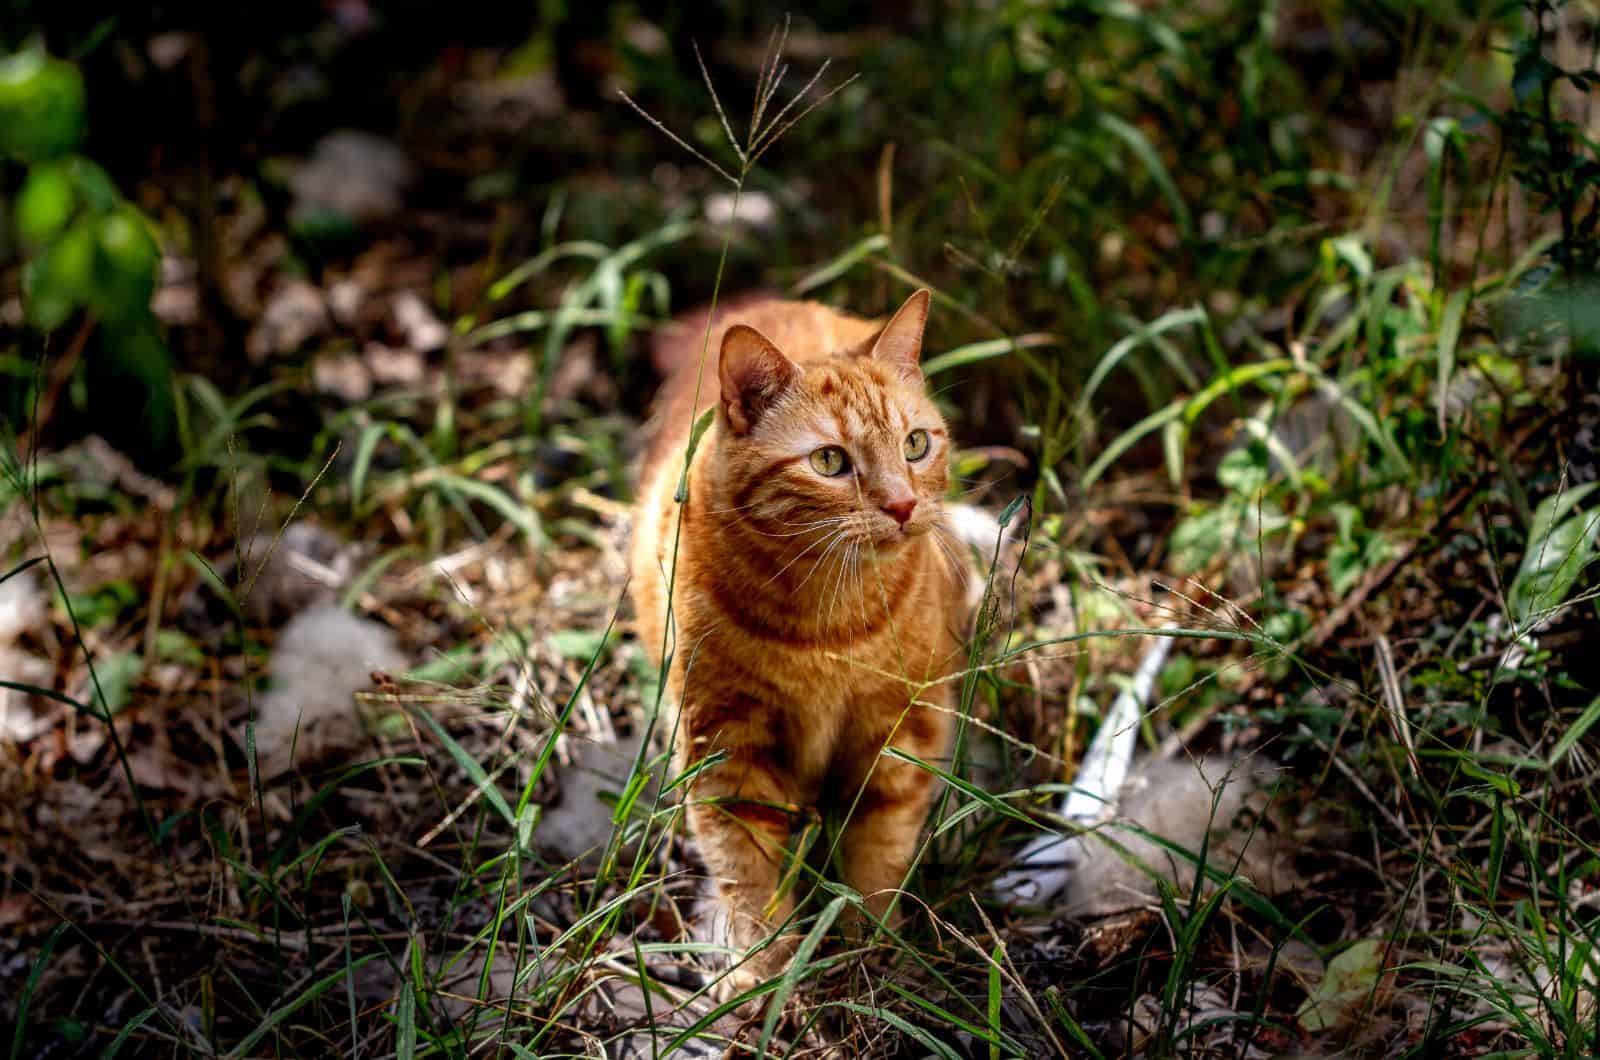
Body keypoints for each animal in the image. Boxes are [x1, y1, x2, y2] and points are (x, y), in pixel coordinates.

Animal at [630, 288, 966, 986]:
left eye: (916, 444)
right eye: (830, 461)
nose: (902, 505)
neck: (826, 622)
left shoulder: (901, 724)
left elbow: (880, 847)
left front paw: (874, 951)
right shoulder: (724, 739)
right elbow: (747, 865)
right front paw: (762, 967)